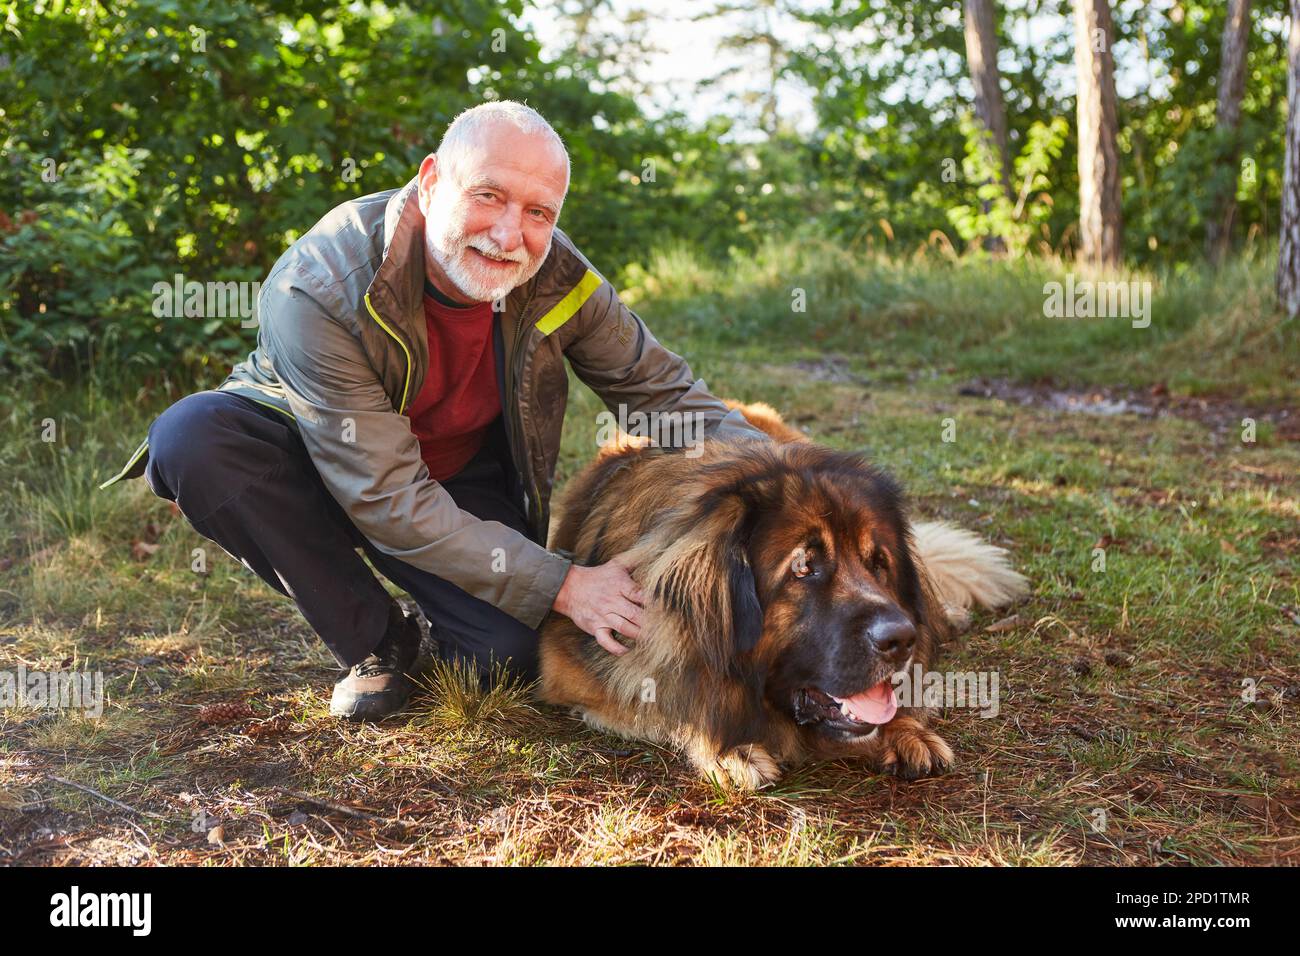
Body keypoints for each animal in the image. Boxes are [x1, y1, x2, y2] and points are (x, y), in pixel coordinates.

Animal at [538, 400, 1024, 790]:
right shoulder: (572, 664)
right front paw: (726, 746)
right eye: (803, 567)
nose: (901, 639)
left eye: (878, 563)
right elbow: (666, 700)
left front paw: (907, 729)